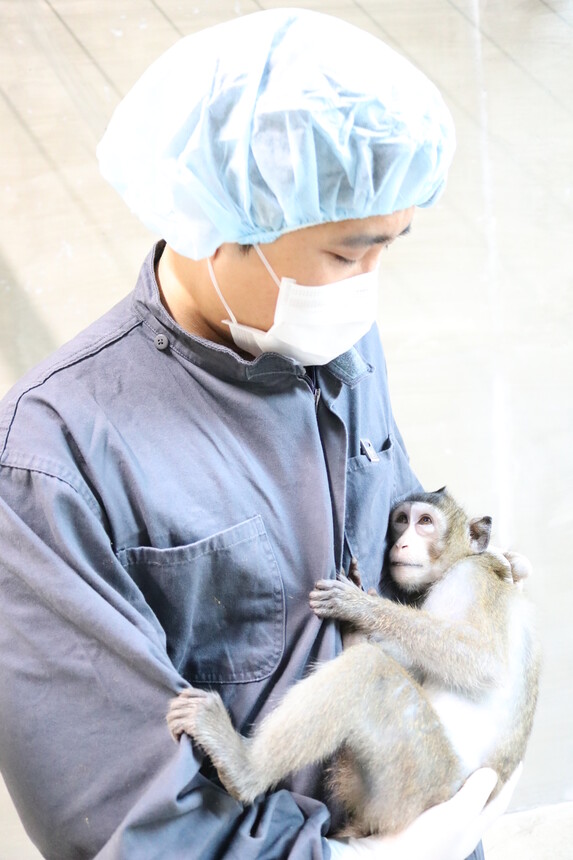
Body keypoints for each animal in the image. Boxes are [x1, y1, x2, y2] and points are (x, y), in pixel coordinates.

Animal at [164, 494, 536, 836]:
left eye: (426, 522)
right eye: (402, 520)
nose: (401, 542)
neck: (462, 562)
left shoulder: (474, 581)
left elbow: (483, 661)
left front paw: (360, 607)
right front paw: (357, 619)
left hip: (417, 781)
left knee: (369, 671)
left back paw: (242, 767)